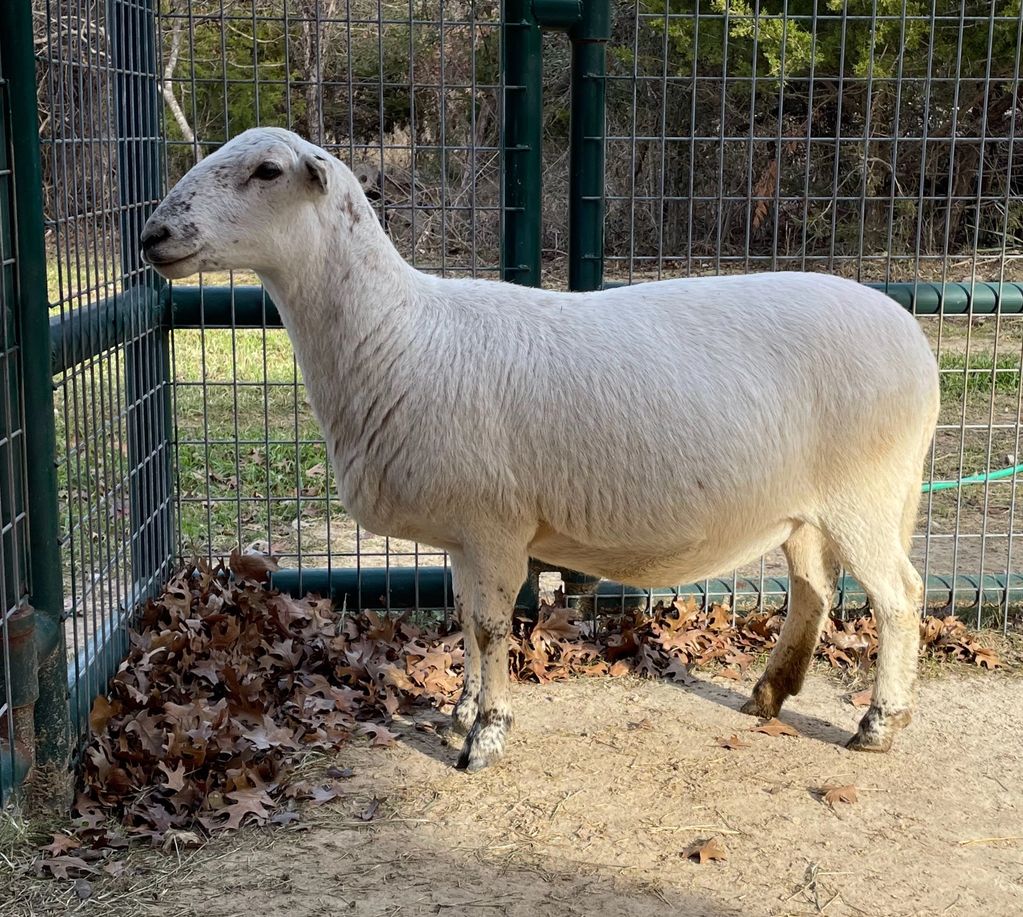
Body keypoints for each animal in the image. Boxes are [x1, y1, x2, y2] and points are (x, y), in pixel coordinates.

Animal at [140, 126, 937, 773]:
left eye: (267, 170)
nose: (152, 234)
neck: (399, 336)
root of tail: (912, 336)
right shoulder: (462, 533)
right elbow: (464, 619)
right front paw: (461, 710)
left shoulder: (493, 524)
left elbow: (491, 627)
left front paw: (486, 737)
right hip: (806, 506)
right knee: (814, 588)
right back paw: (769, 694)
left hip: (865, 493)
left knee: (899, 595)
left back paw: (878, 725)